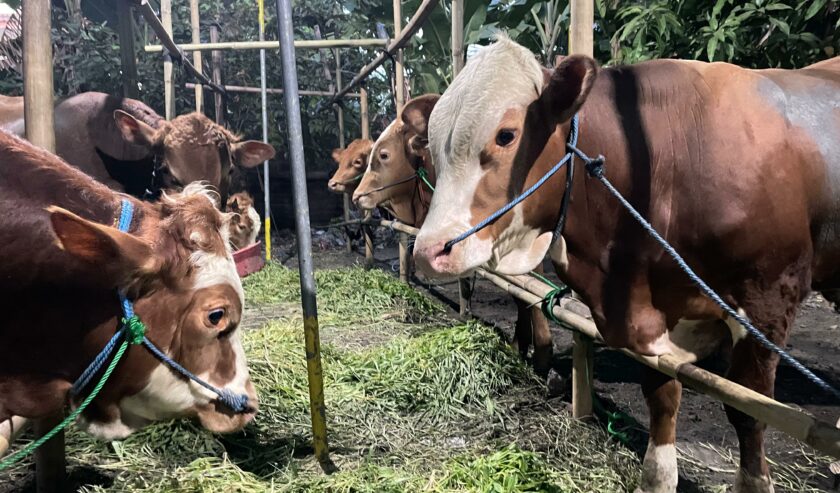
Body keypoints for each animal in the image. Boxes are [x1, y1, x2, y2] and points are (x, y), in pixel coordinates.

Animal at [410, 36, 840, 490]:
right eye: (433, 145)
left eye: (506, 135)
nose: (429, 251)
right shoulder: (653, 317)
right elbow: (661, 396)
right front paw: (657, 477)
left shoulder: (768, 301)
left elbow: (748, 412)